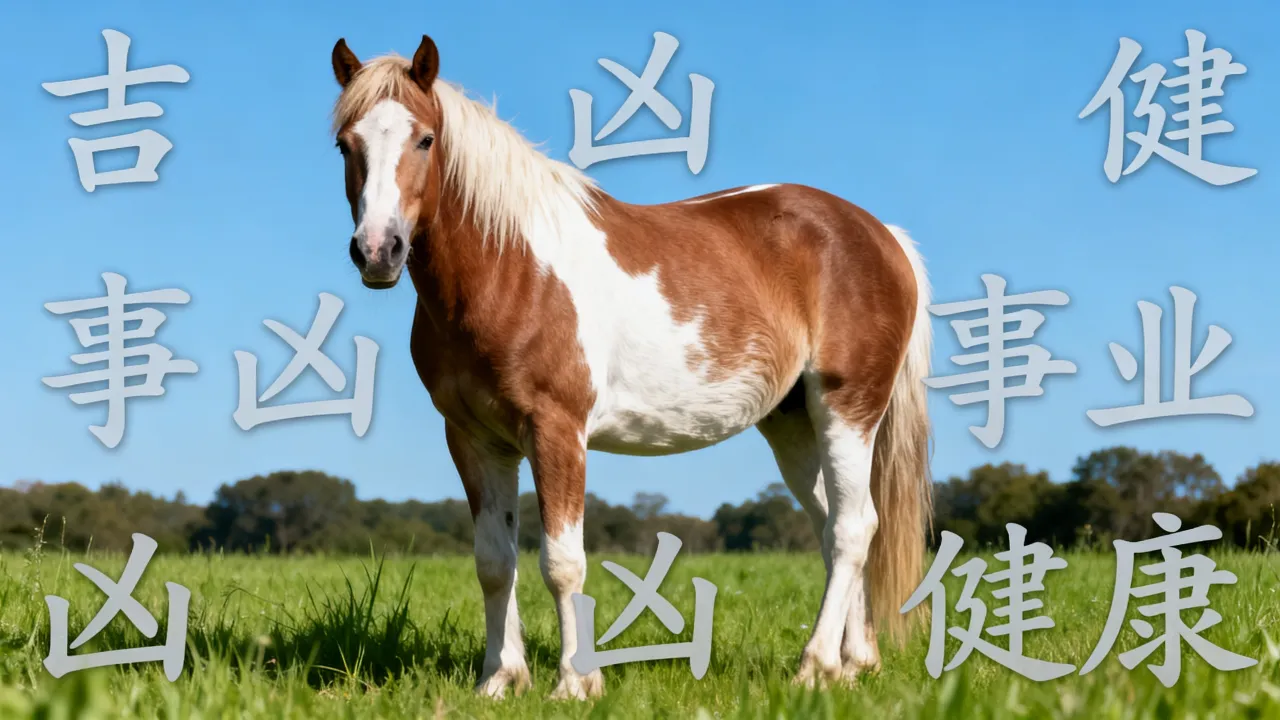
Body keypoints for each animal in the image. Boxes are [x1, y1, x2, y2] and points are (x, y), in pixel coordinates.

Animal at [328, 35, 933, 700]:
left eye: (425, 140)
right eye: (345, 144)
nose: (377, 250)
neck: (509, 266)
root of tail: (884, 236)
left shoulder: (557, 430)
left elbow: (562, 563)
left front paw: (575, 682)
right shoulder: (474, 440)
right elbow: (494, 561)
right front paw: (499, 680)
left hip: (847, 408)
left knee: (854, 529)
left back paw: (816, 665)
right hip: (794, 423)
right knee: (833, 526)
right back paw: (855, 663)